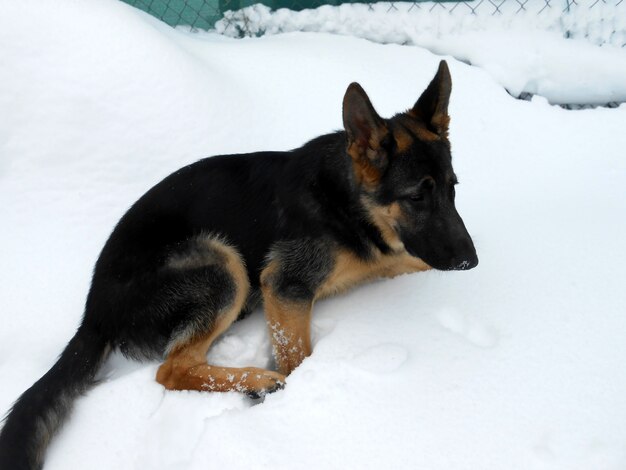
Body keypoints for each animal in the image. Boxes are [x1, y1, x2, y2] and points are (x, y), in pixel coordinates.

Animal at [0, 60, 476, 468]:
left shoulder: (398, 257)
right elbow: (299, 358)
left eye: (452, 188)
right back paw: (259, 381)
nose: (471, 262)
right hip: (222, 263)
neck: (348, 201)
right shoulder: (284, 284)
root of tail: (94, 311)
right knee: (172, 368)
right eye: (416, 197)